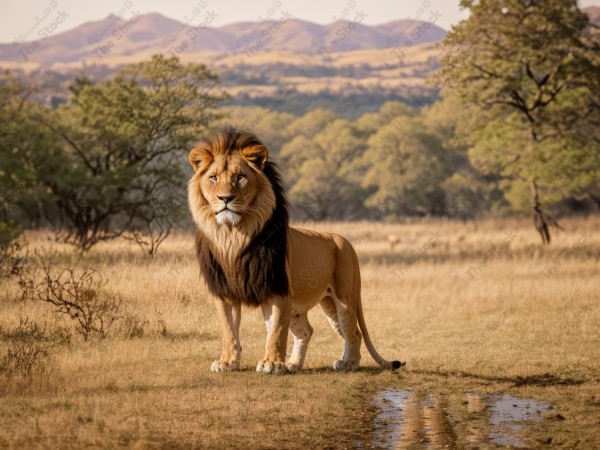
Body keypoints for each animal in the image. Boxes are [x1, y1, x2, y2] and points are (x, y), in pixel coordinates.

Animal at [188, 125, 404, 372]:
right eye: (213, 177)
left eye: (240, 176)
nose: (225, 198)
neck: (233, 235)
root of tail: (345, 241)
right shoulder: (225, 291)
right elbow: (229, 330)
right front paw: (227, 362)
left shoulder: (277, 287)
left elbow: (276, 331)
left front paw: (272, 364)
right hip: (317, 305)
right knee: (309, 331)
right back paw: (294, 364)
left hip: (344, 299)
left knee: (353, 332)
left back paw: (348, 362)